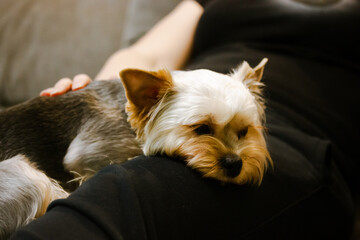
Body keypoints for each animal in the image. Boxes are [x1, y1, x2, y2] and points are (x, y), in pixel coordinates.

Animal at [0, 57, 270, 238]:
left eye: (244, 131)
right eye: (201, 128)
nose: (235, 164)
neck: (131, 117)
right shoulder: (86, 153)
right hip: (24, 178)